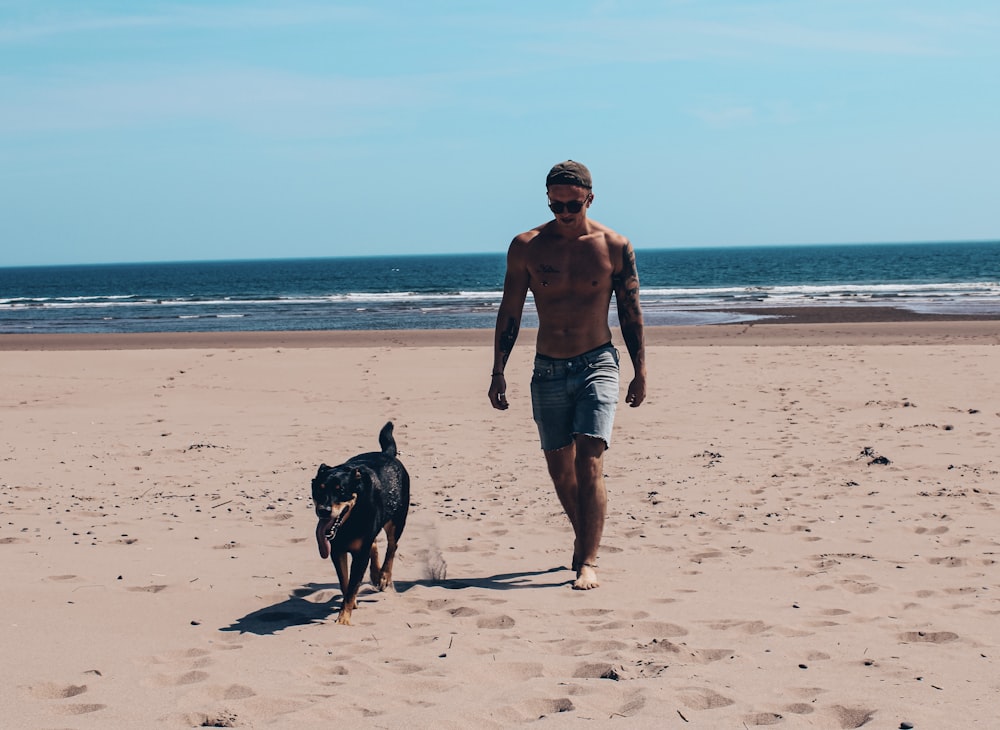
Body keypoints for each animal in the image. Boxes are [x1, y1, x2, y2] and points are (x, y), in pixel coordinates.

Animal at [310, 420, 408, 624]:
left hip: (397, 519)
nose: (324, 511)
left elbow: (353, 583)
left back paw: (384, 575)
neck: (349, 521)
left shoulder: (360, 554)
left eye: (341, 490)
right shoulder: (337, 550)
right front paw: (350, 604)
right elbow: (344, 582)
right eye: (319, 490)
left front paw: (343, 619)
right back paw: (376, 575)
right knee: (375, 545)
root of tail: (387, 453)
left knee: (392, 545)